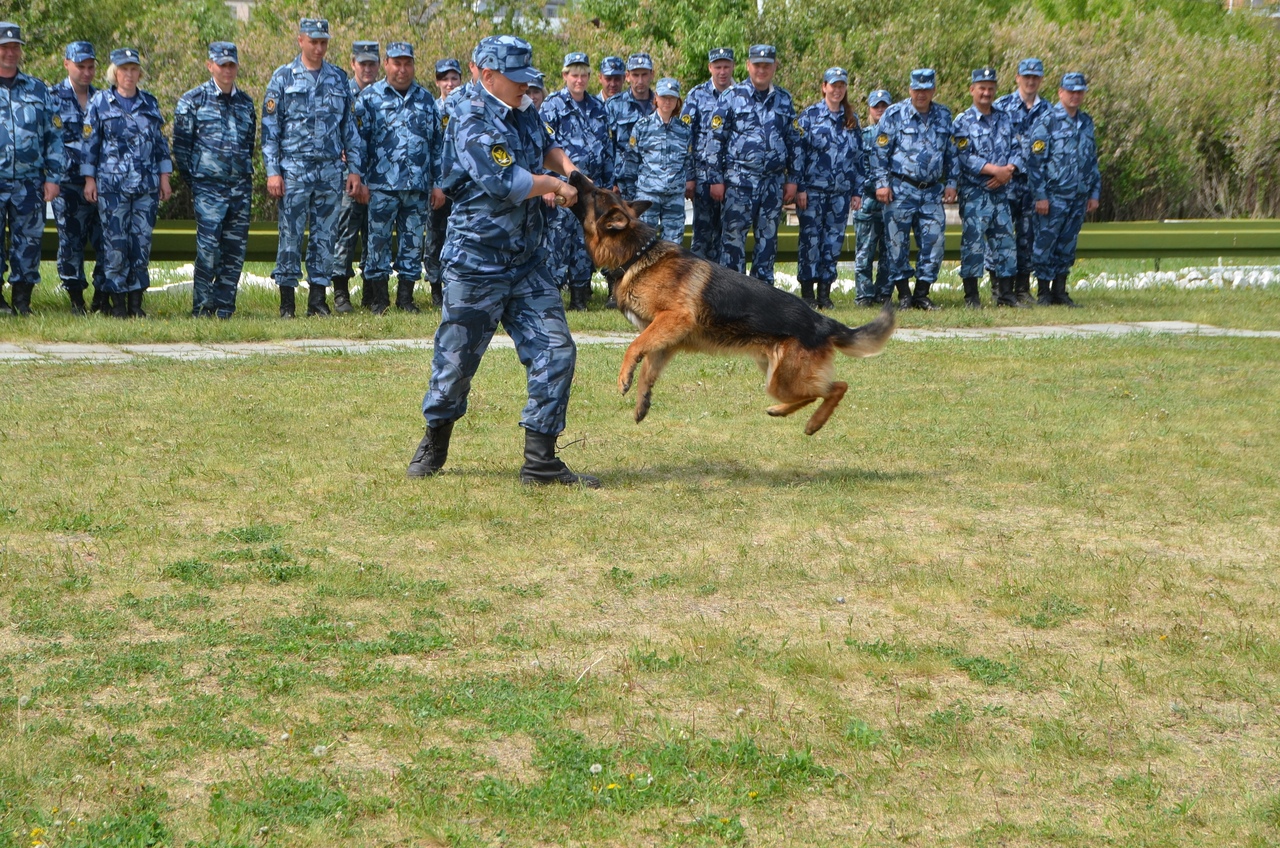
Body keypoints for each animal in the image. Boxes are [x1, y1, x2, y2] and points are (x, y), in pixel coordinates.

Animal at [570, 172, 901, 438]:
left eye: (596, 193)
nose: (573, 173)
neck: (636, 254)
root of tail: (822, 322)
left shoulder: (674, 319)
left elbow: (634, 346)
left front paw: (624, 377)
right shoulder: (666, 337)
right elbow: (649, 368)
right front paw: (642, 402)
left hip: (784, 378)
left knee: (837, 386)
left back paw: (813, 423)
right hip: (774, 374)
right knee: (817, 391)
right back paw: (782, 411)